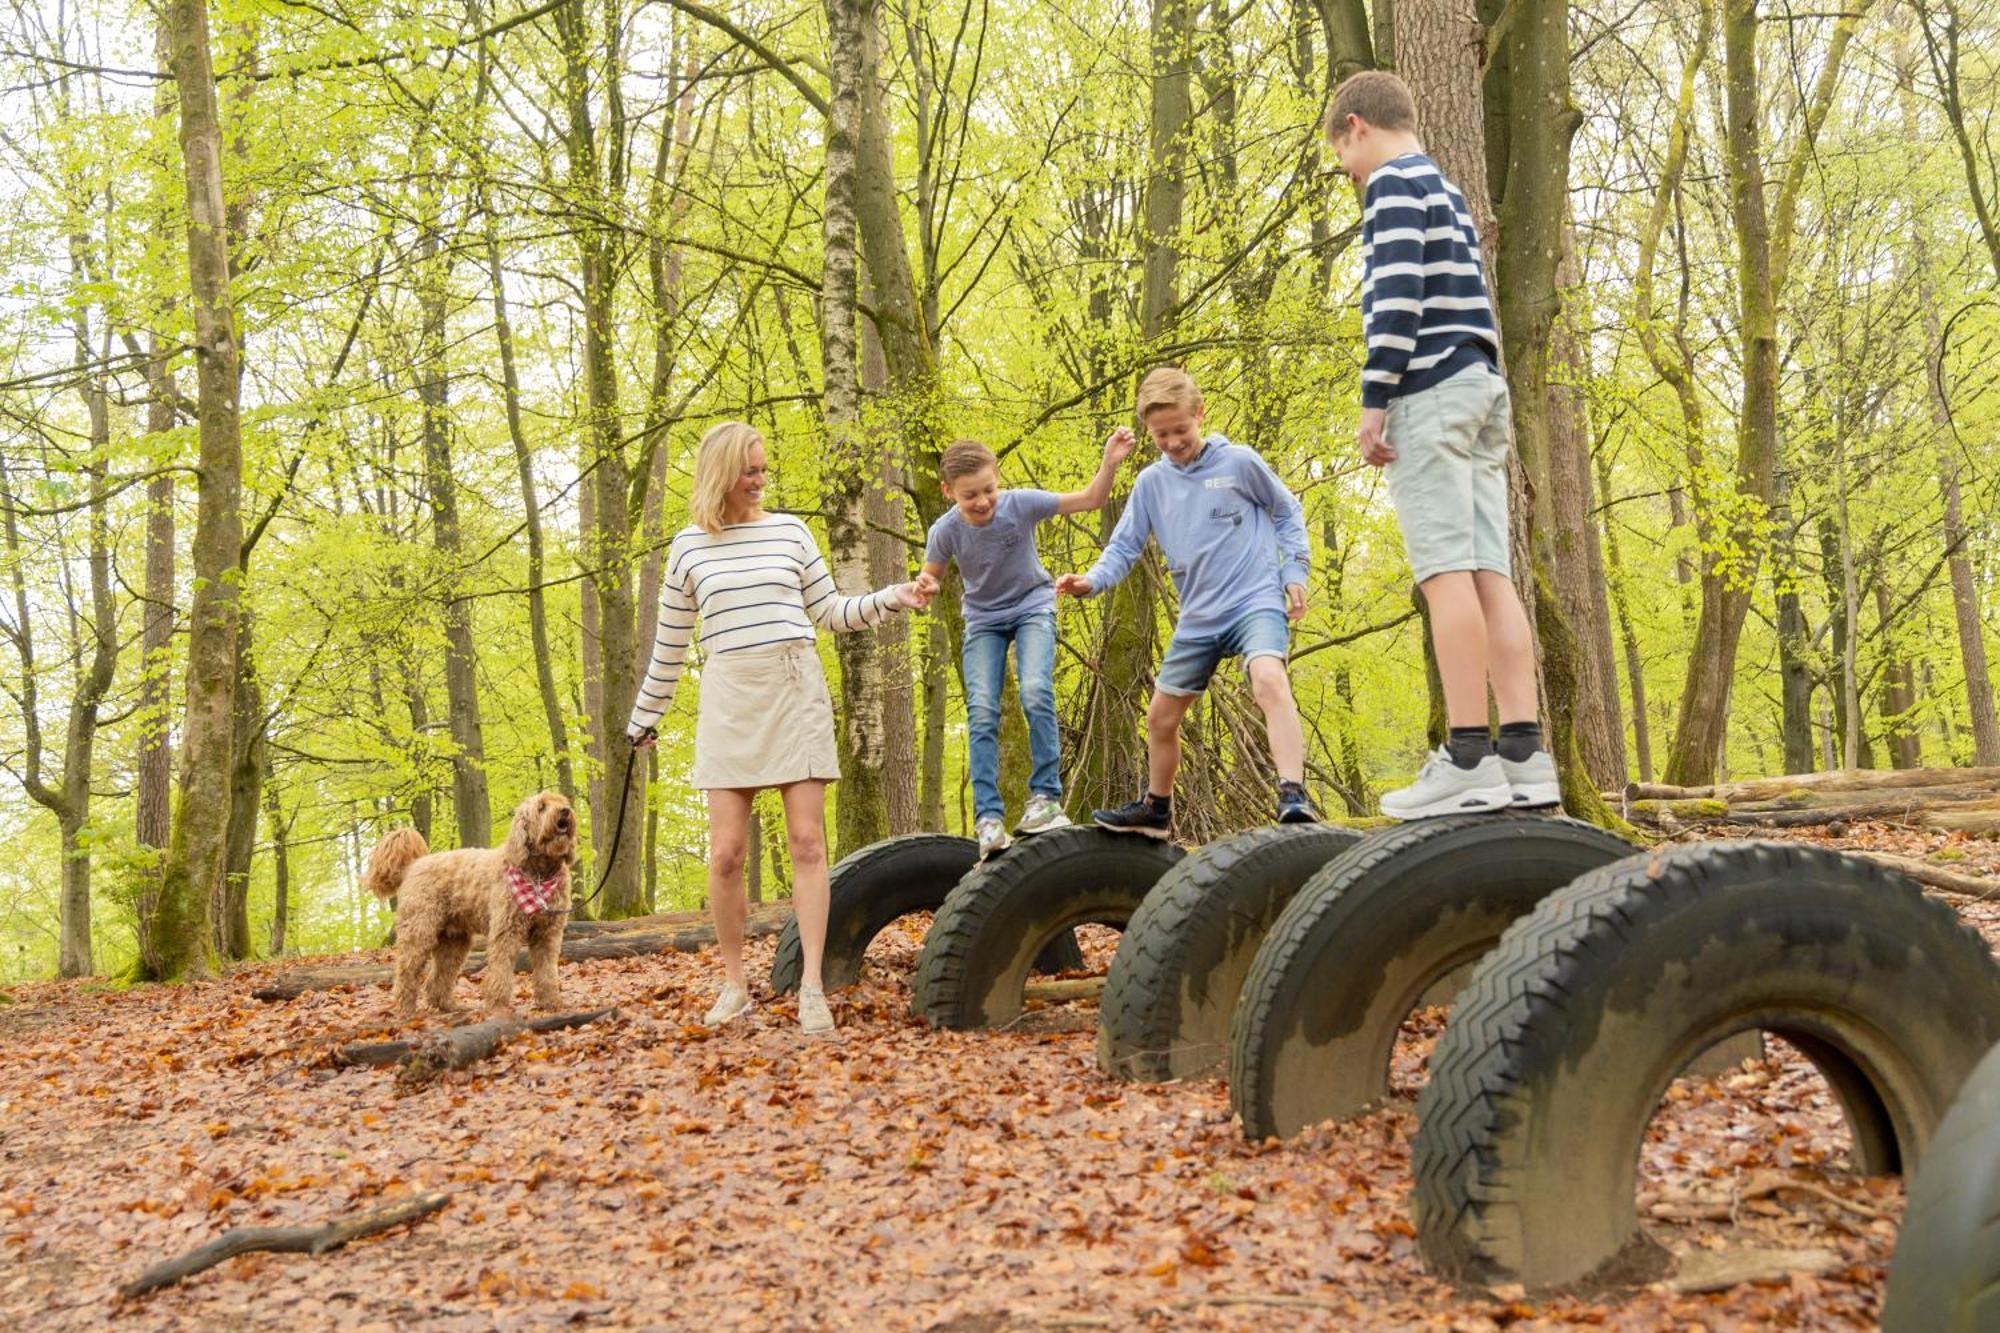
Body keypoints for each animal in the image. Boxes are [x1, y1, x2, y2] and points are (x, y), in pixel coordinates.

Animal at [364, 788, 580, 1016]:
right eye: (541, 807)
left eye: (562, 802)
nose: (565, 811)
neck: (539, 875)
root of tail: (414, 865)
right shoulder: (506, 932)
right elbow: (501, 971)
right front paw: (499, 1006)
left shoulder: (548, 935)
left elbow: (547, 972)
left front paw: (551, 1002)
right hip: (419, 931)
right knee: (406, 971)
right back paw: (405, 1008)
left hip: (454, 941)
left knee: (438, 976)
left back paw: (446, 1005)